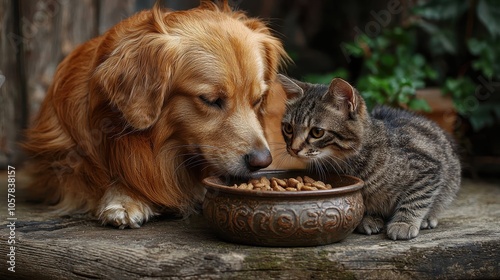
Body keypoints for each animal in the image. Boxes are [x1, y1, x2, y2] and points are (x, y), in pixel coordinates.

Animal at [278, 75, 460, 241]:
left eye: (317, 132)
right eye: (288, 128)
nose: (293, 148)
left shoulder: (427, 169)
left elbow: (416, 198)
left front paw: (404, 222)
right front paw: (368, 218)